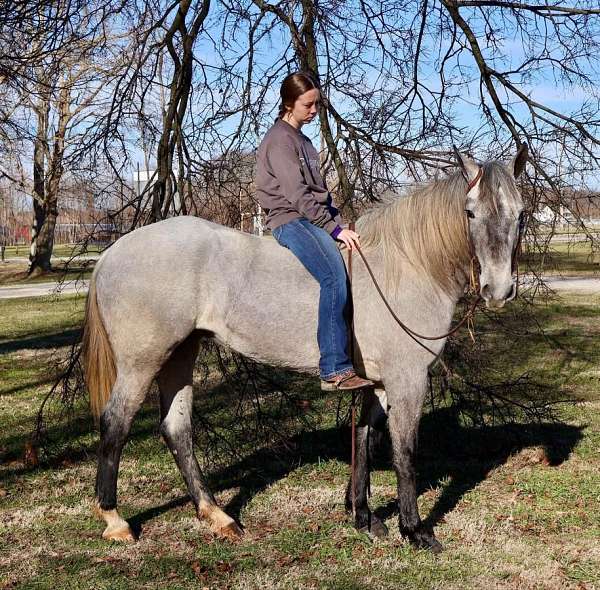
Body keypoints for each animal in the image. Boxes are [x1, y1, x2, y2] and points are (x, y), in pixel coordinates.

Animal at [83, 147, 524, 552]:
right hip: (142, 362)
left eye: (520, 214)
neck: (407, 265)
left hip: (180, 355)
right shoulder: (407, 380)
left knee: (177, 429)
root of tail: (112, 253)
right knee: (116, 424)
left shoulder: (377, 382)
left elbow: (364, 439)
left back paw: (217, 515)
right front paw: (414, 530)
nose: (498, 290)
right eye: (470, 213)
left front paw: (363, 516)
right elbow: (405, 453)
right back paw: (115, 520)